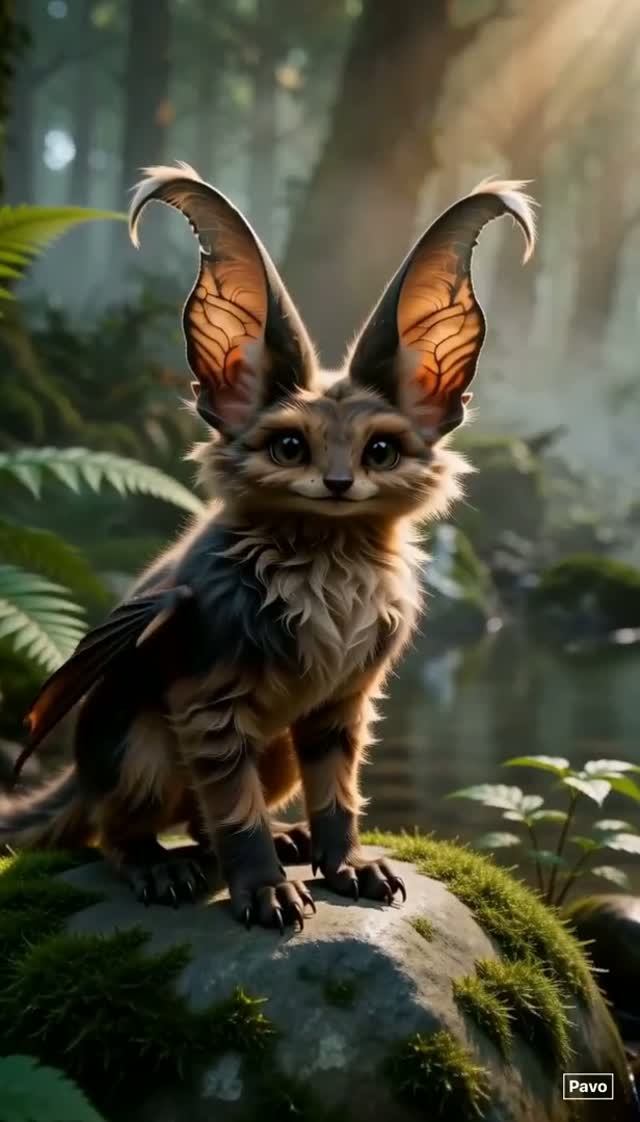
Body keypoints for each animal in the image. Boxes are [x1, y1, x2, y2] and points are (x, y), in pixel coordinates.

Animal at [1, 164, 535, 931]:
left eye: (380, 451)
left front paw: (349, 866)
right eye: (289, 446)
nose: (338, 483)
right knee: (116, 828)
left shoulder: (341, 704)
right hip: (139, 744)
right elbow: (234, 813)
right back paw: (161, 867)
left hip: (274, 746)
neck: (329, 569)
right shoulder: (208, 706)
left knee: (198, 818)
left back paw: (288, 838)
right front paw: (264, 892)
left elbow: (337, 794)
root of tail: (78, 776)